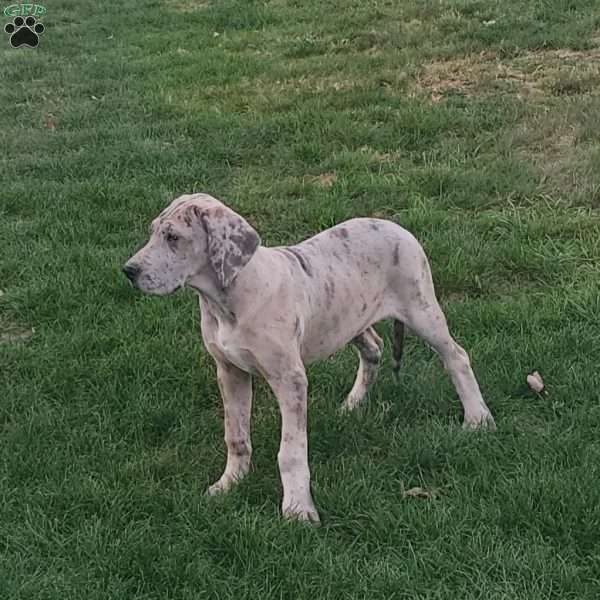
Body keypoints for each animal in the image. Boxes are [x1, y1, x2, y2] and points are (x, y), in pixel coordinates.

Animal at [124, 195, 494, 524]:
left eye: (173, 238)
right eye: (153, 231)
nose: (129, 270)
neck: (227, 301)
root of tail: (396, 226)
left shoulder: (289, 379)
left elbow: (290, 452)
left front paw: (298, 510)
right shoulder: (229, 371)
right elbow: (236, 436)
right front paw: (229, 484)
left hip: (421, 310)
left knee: (456, 356)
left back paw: (477, 418)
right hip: (347, 318)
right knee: (373, 348)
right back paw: (353, 403)